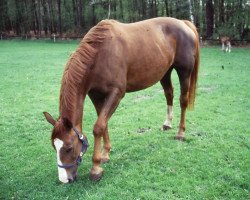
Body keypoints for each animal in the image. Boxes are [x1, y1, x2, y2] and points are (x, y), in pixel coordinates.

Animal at [43, 16, 199, 183]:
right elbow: (103, 124)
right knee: (169, 94)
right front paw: (105, 154)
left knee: (183, 100)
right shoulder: (95, 95)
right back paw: (167, 124)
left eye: (69, 148)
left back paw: (180, 133)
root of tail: (184, 23)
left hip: (184, 72)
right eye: (54, 146)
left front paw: (96, 168)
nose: (64, 179)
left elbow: (98, 127)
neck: (99, 54)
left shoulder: (116, 94)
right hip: (165, 72)